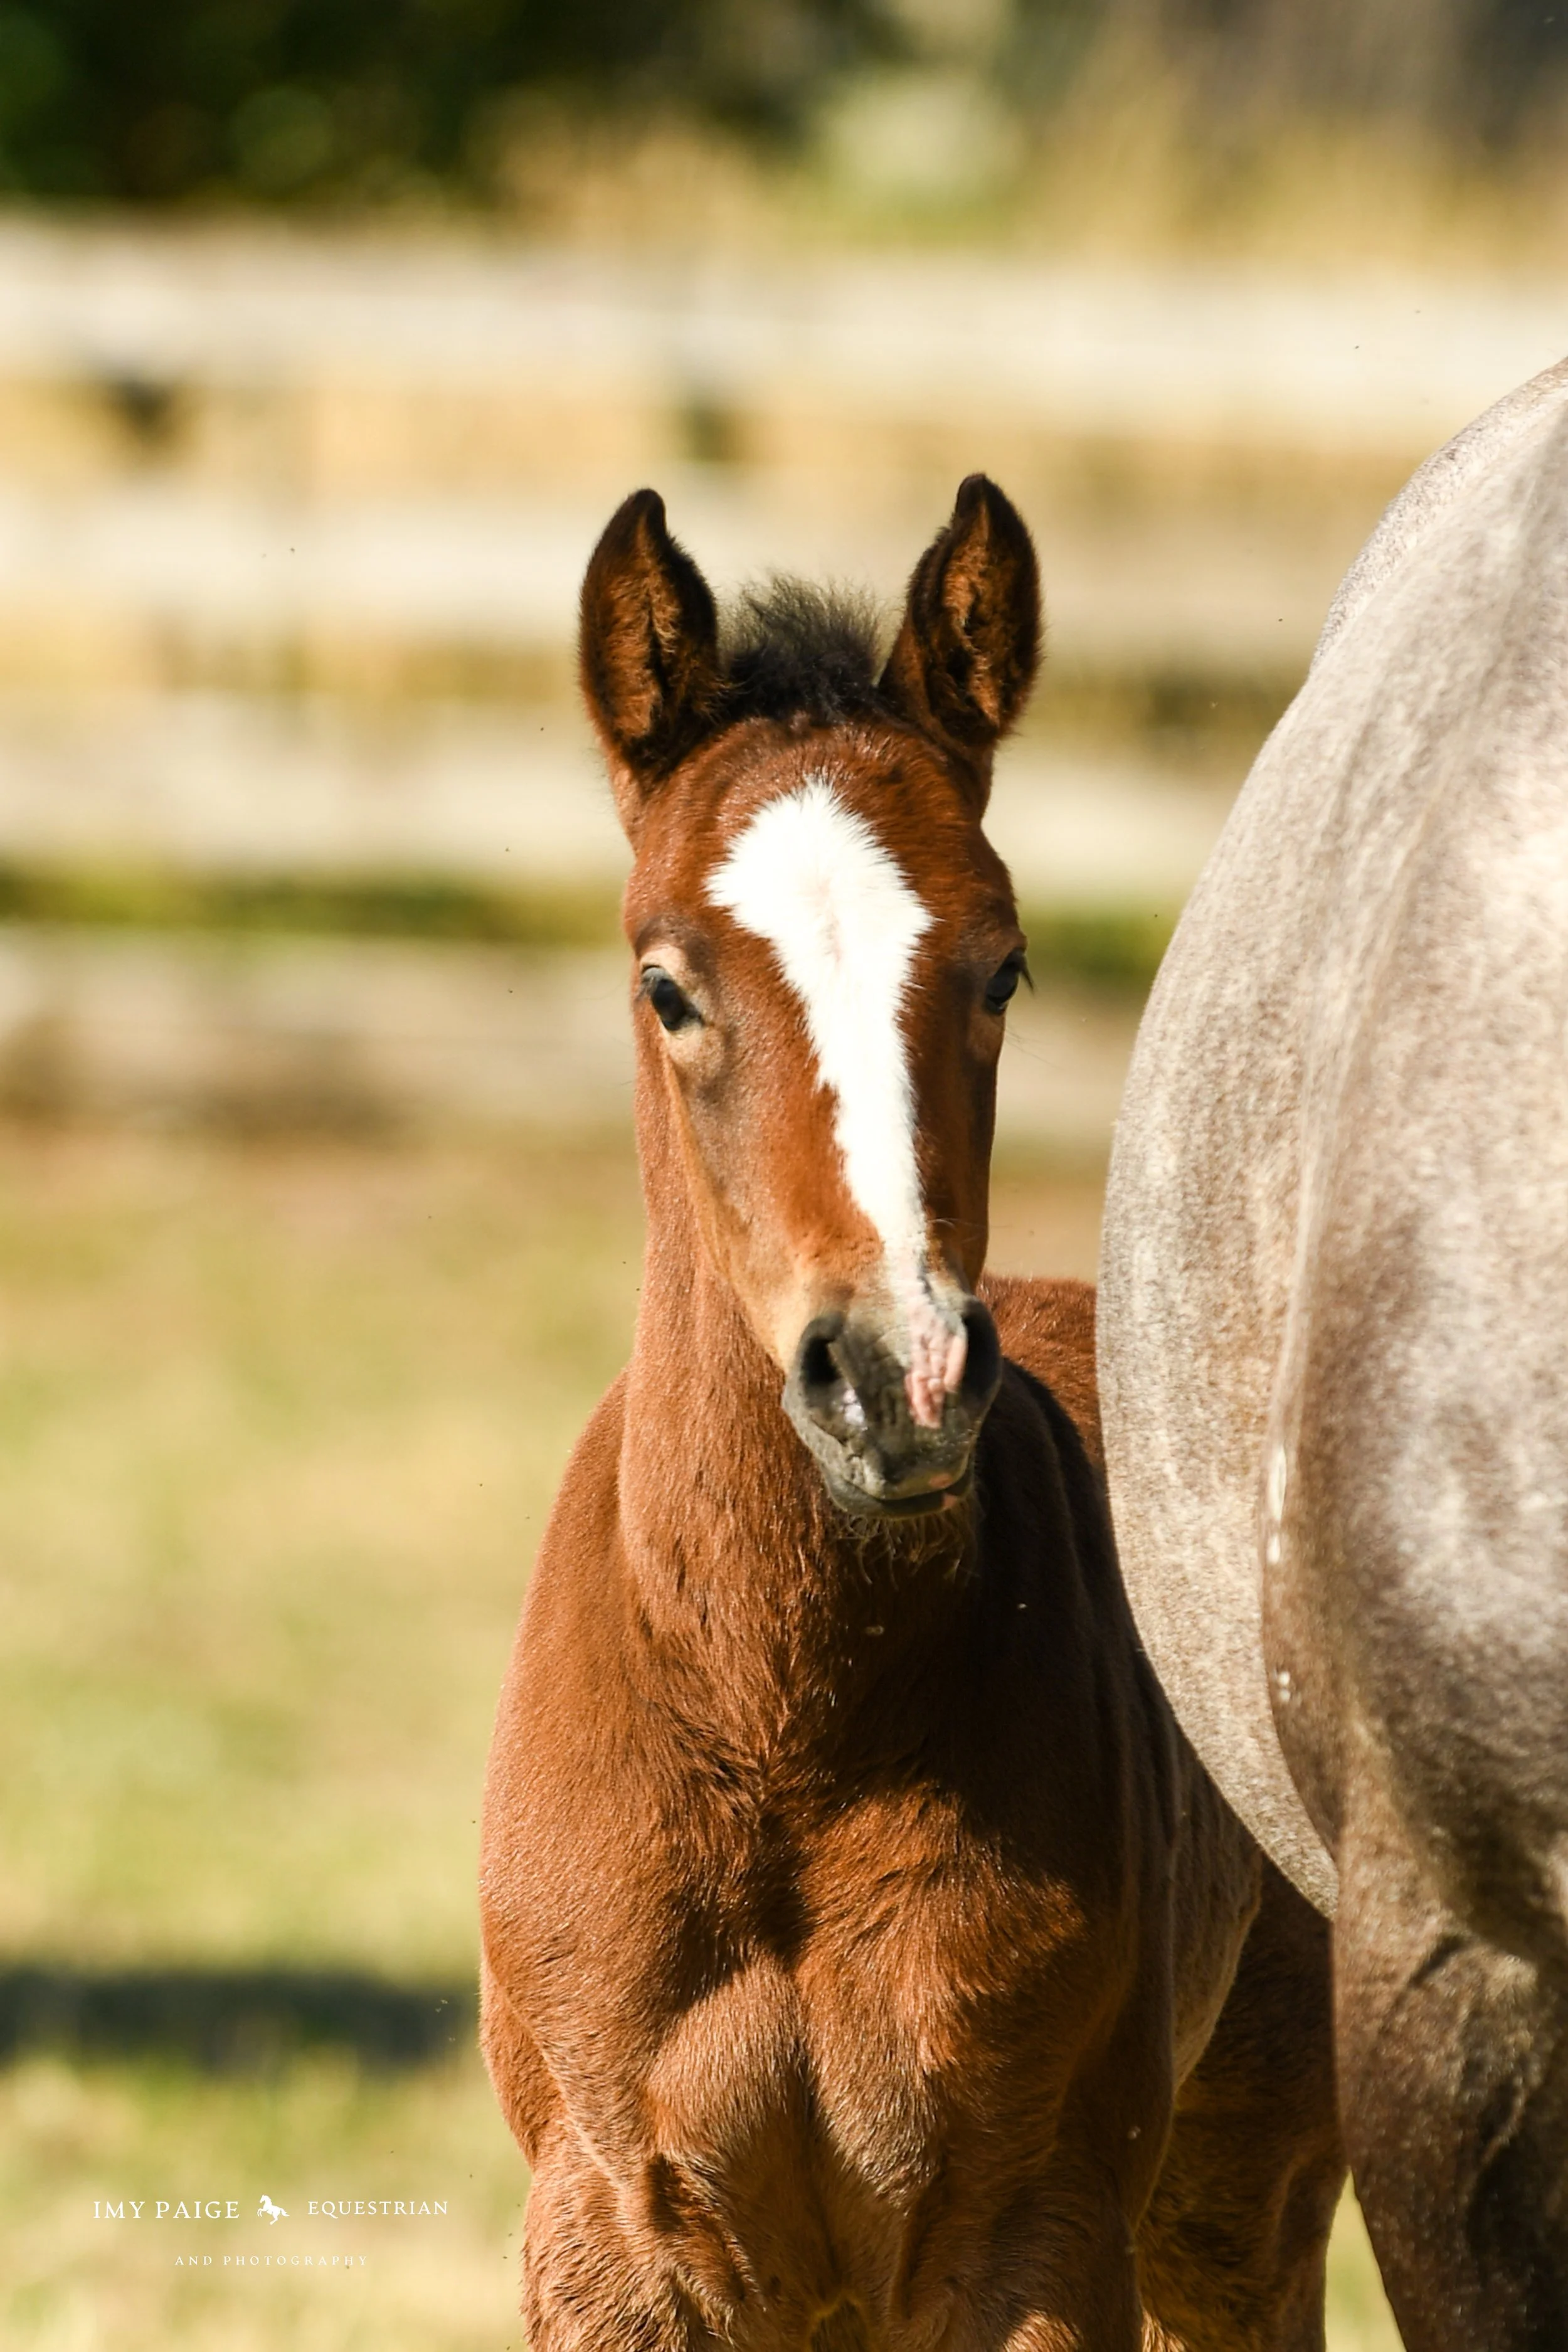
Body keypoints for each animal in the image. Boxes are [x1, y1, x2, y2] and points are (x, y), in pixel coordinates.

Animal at [480, 475, 1343, 2352]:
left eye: (1003, 967)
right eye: (669, 984)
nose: (897, 1375)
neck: (784, 1723)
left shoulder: (1037, 2230)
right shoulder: (606, 2234)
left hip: (1243, 2189)